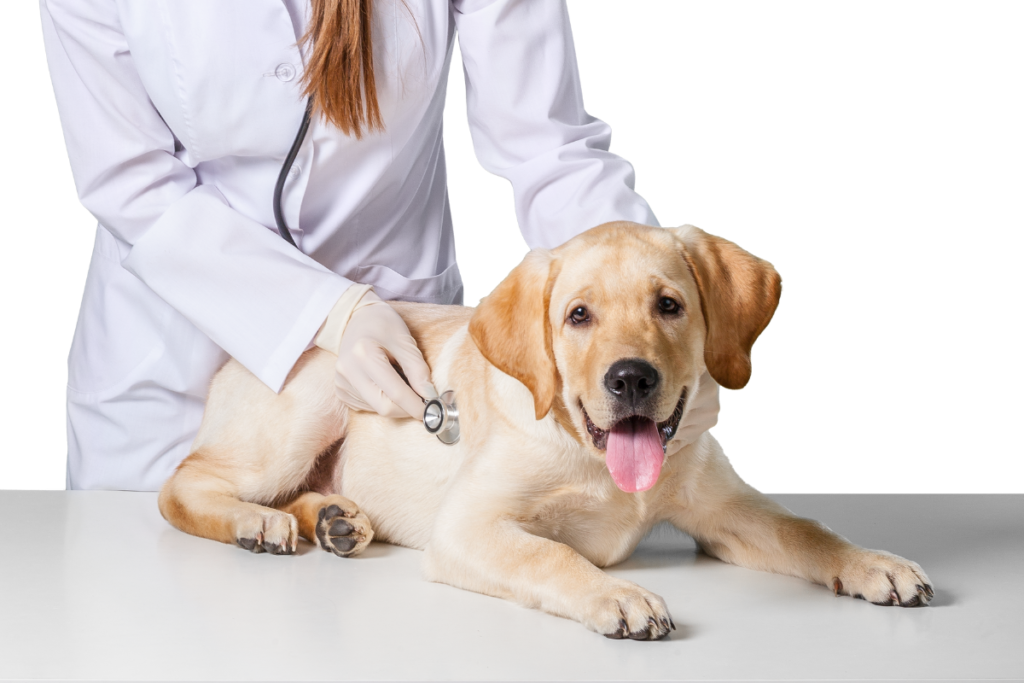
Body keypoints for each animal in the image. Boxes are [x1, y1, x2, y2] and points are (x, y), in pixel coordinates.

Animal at [157, 223, 929, 643]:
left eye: (670, 305)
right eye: (578, 315)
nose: (630, 379)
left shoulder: (724, 508)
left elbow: (805, 528)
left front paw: (872, 563)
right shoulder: (469, 525)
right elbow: (550, 555)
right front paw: (618, 596)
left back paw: (334, 519)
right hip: (310, 408)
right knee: (181, 485)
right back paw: (257, 523)